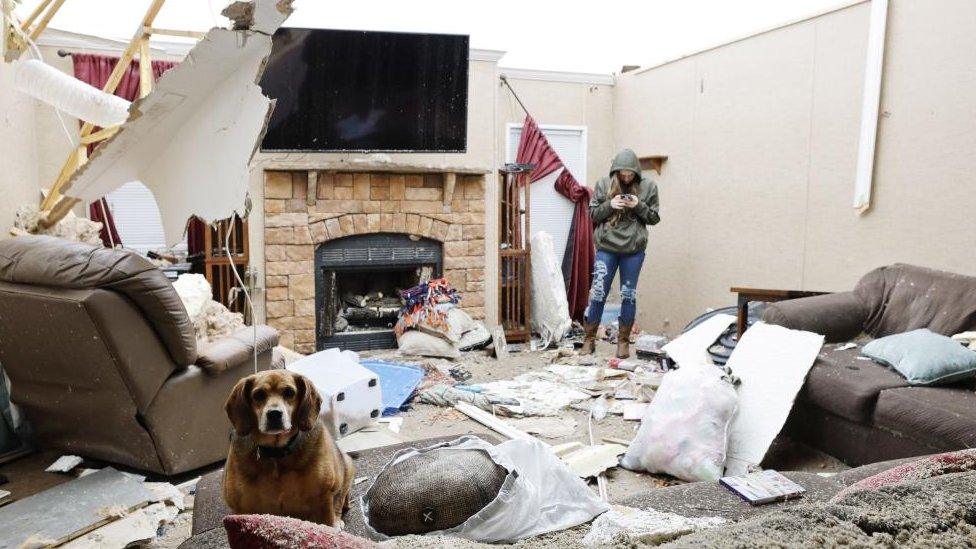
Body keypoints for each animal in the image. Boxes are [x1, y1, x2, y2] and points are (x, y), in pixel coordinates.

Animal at [223, 370, 356, 524]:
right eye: (258, 395)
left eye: (289, 392)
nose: (274, 414)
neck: (276, 453)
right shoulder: (241, 510)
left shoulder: (324, 498)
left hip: (347, 466)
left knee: (340, 500)